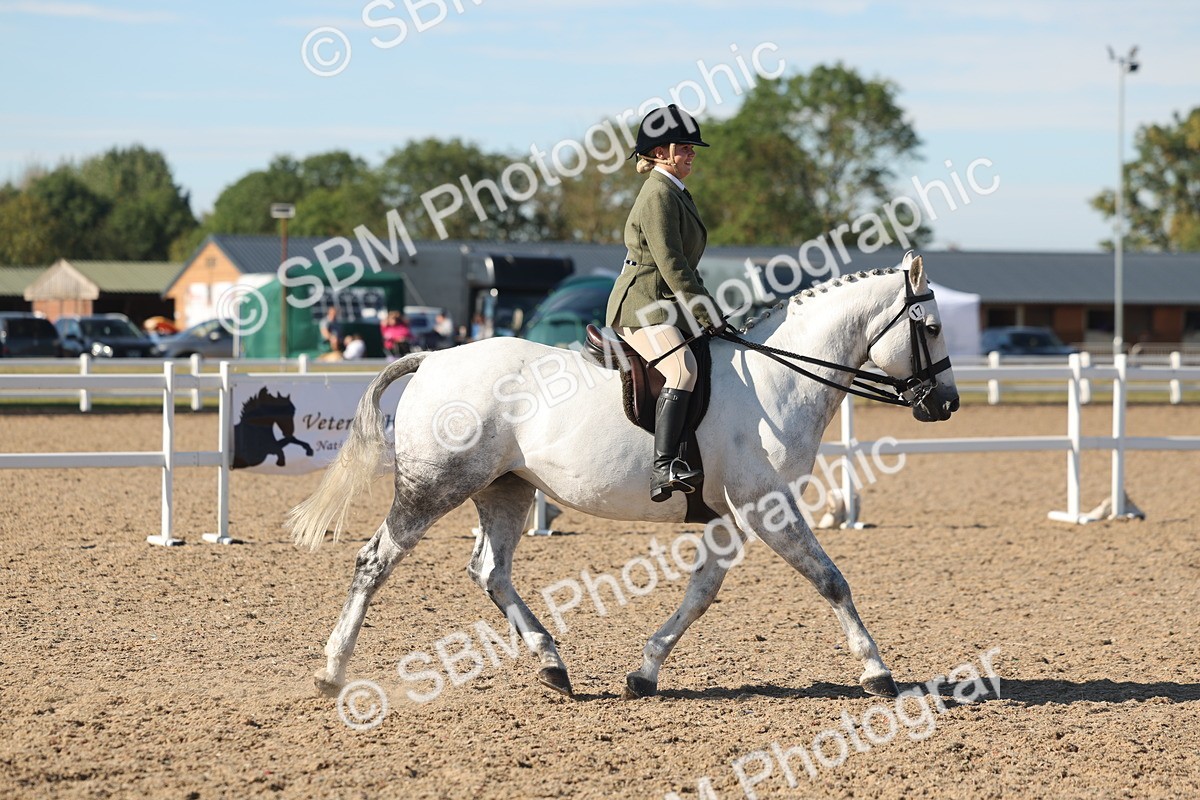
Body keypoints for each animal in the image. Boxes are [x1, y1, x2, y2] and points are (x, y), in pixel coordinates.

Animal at [288, 252, 960, 700]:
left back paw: (551, 664)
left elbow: (701, 593)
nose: (946, 403)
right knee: (376, 561)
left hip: (506, 489)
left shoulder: (731, 515)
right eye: (930, 329)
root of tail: (434, 358)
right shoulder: (765, 504)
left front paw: (645, 671)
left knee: (490, 571)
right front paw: (877, 672)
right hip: (434, 487)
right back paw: (331, 671)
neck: (778, 377)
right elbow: (830, 581)